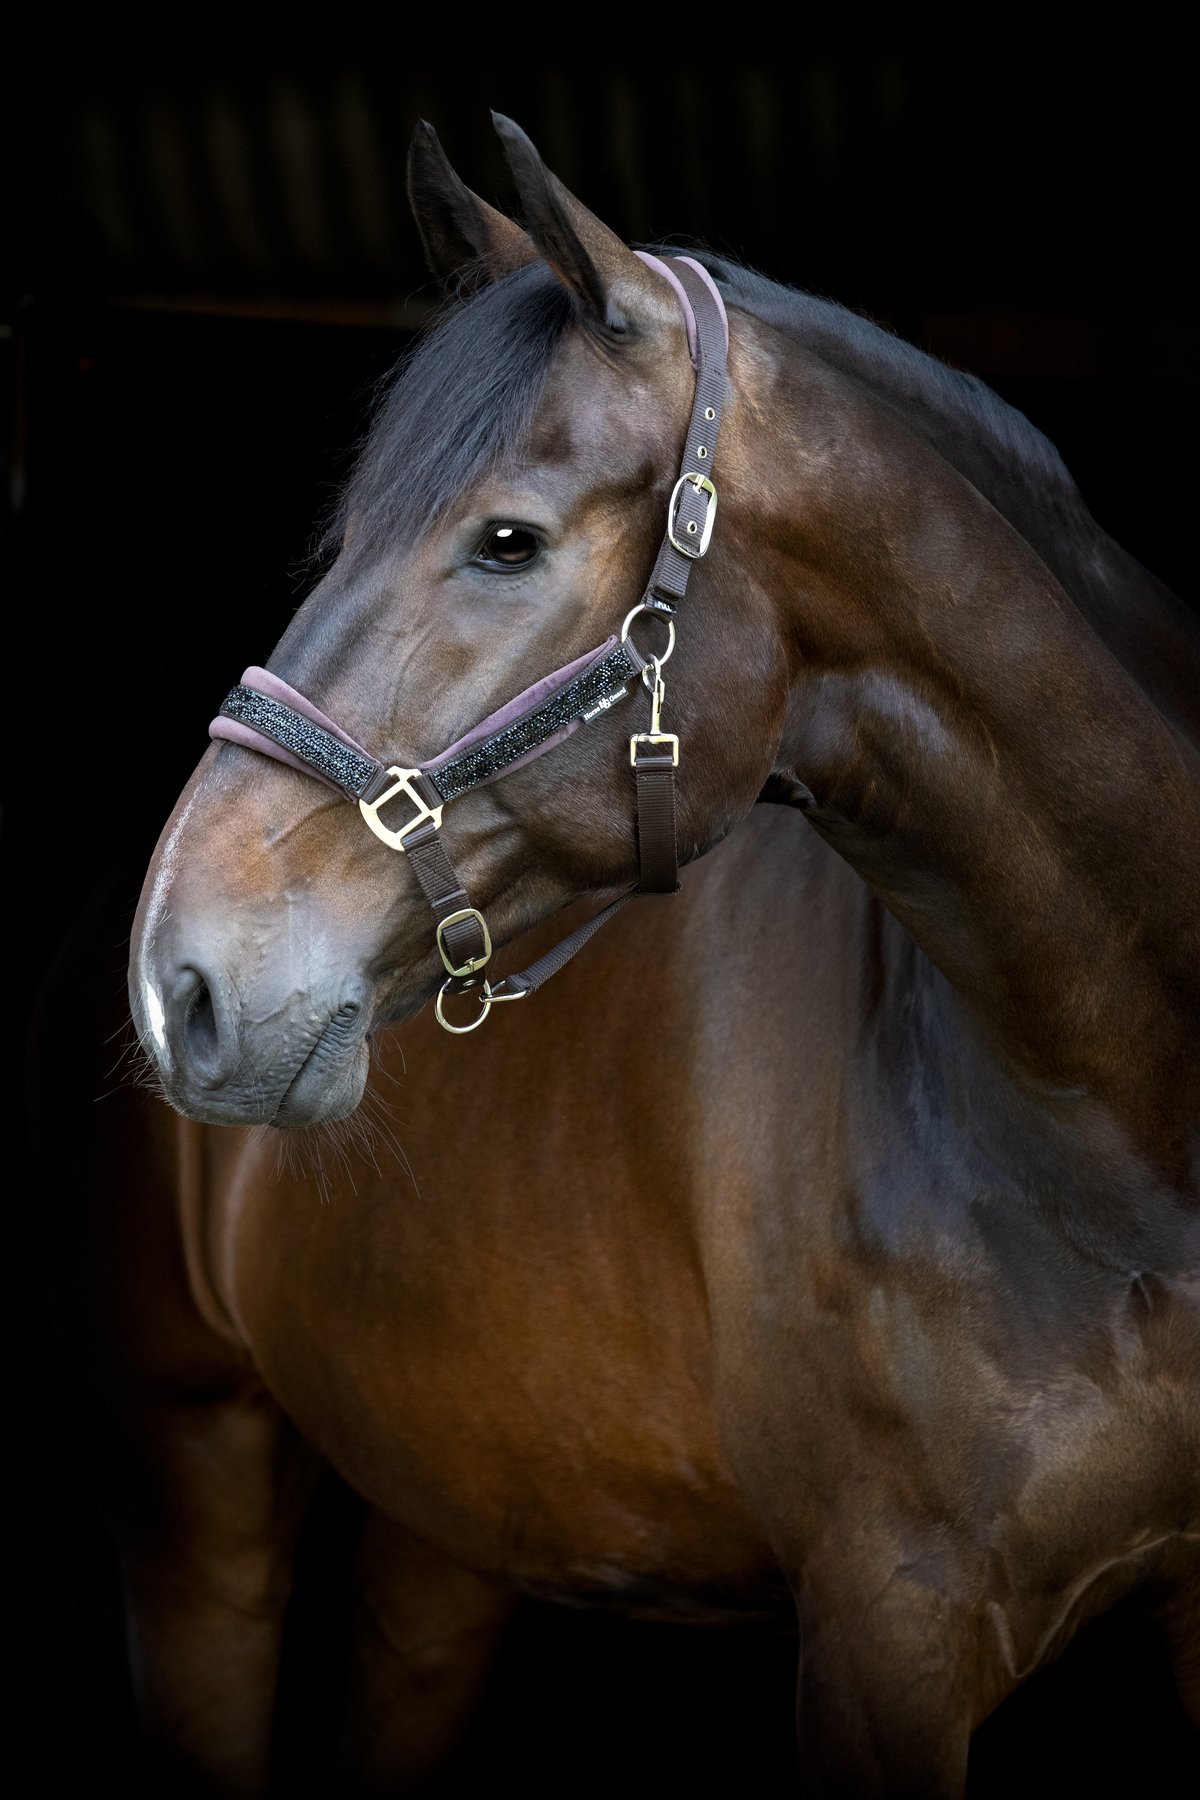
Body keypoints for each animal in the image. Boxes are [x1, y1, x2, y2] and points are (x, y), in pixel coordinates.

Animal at [38, 112, 1198, 1795]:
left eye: (507, 541)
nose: (179, 975)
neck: (1115, 1118)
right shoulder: (886, 1629)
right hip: (197, 1496)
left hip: (451, 1530)